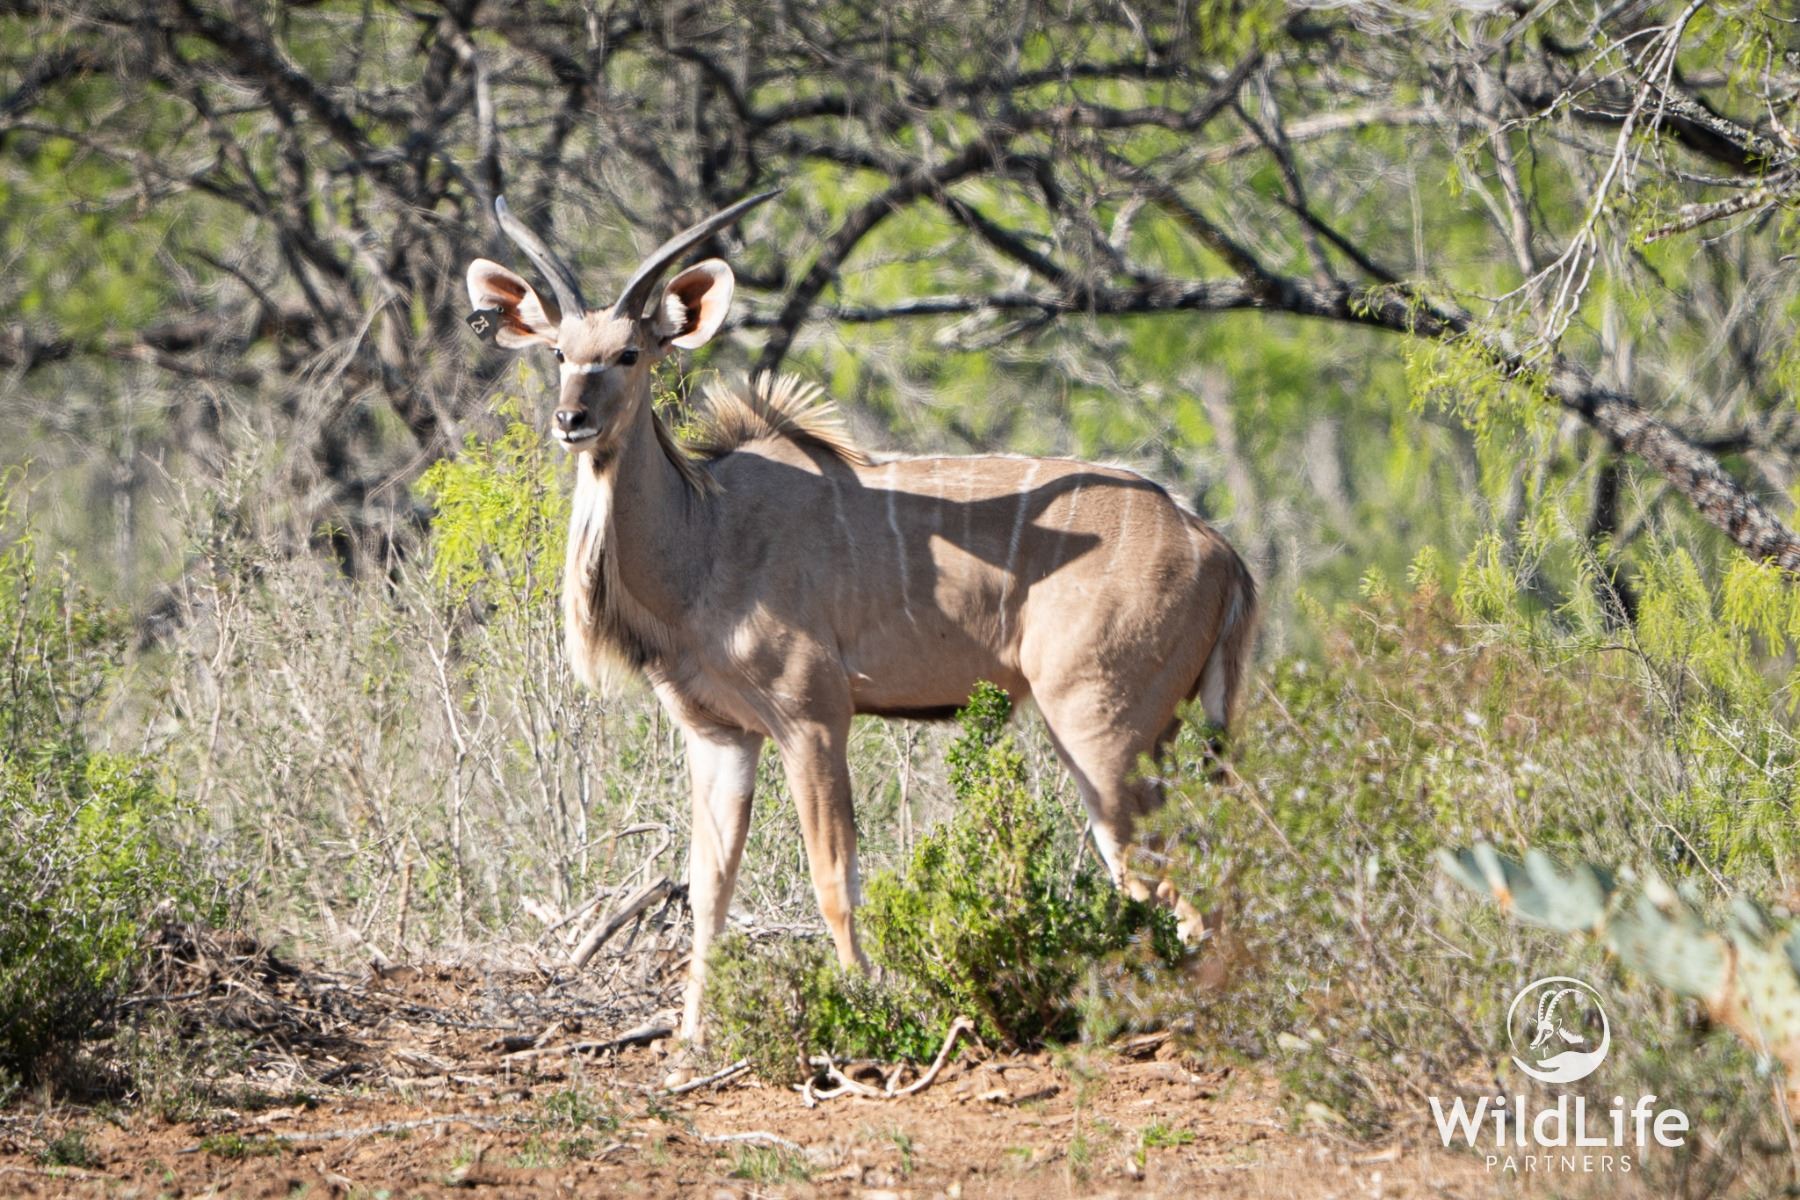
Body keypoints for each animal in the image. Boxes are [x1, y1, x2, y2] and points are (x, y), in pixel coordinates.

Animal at [465, 192, 1257, 1043]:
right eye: (559, 353)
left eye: (629, 354)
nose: (571, 419)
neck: (704, 532)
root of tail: (1218, 549)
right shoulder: (720, 734)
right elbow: (709, 889)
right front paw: (690, 1038)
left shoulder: (814, 718)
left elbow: (834, 878)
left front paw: (860, 1010)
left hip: (1100, 731)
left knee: (1163, 876)